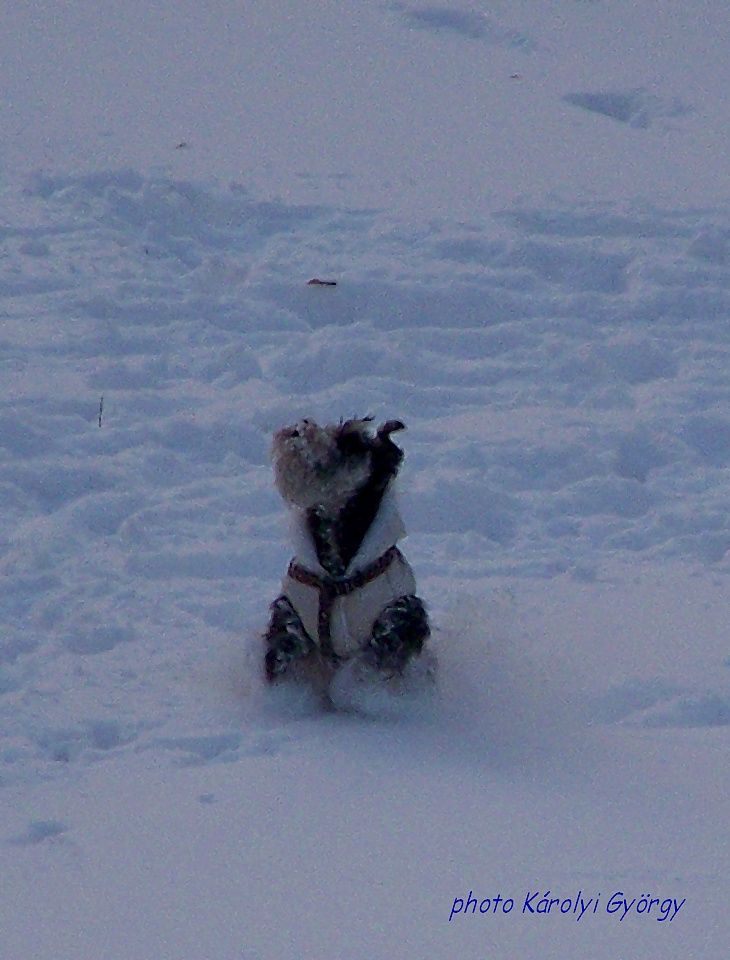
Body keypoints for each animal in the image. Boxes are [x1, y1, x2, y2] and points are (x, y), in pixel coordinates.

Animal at [264, 414, 430, 696]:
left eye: (352, 443)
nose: (300, 427)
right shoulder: (289, 614)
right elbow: (285, 649)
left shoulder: (399, 617)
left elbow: (372, 662)